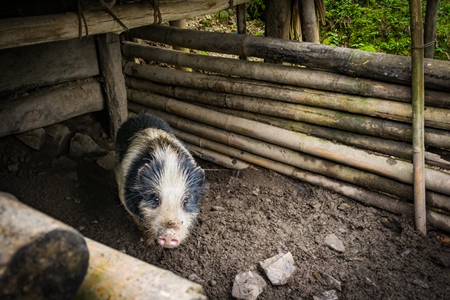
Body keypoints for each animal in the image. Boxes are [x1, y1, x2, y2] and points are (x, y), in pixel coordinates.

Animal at [114, 113, 206, 247]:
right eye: (155, 198)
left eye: (186, 200)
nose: (169, 235)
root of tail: (142, 115)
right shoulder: (125, 197)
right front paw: (149, 242)